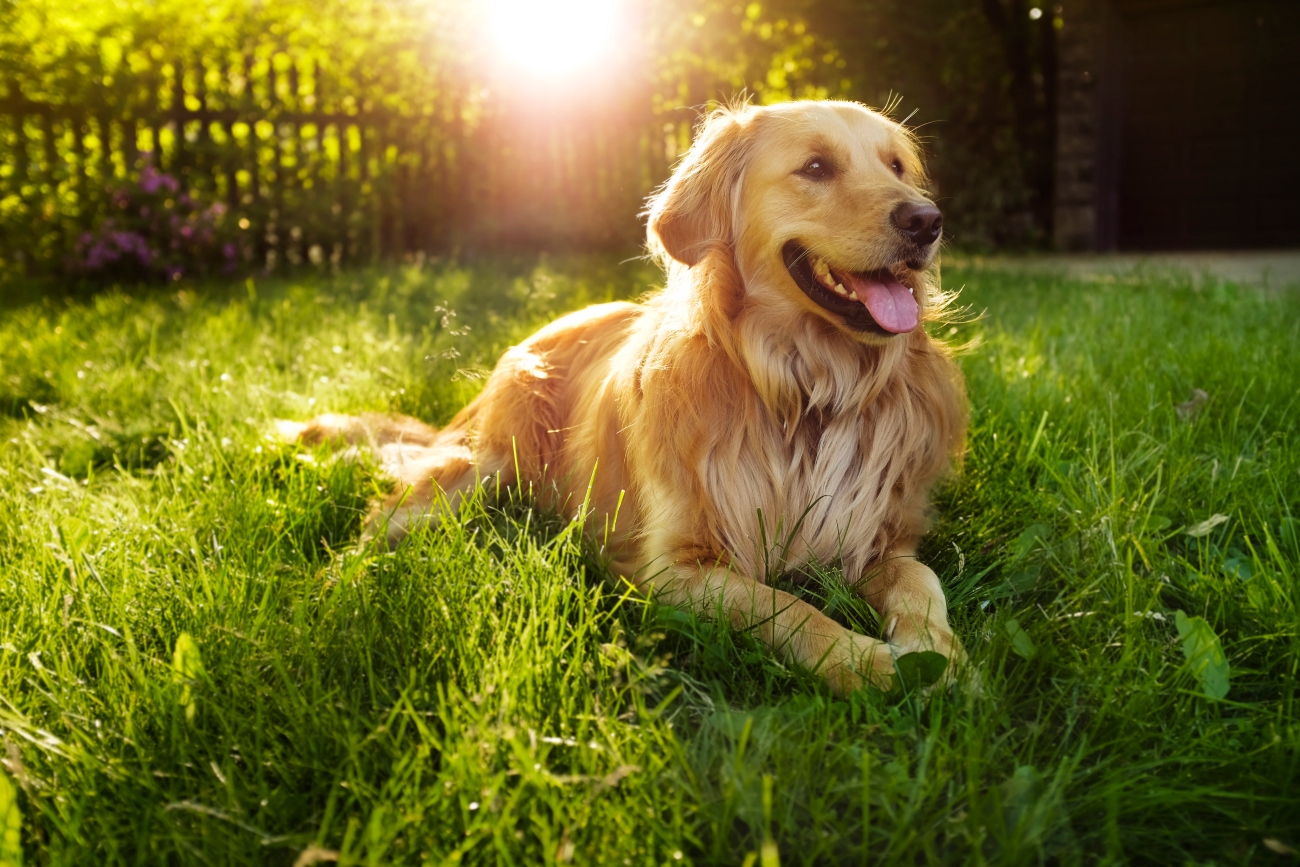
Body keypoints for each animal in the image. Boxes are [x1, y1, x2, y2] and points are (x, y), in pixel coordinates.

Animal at [282, 102, 967, 696]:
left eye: (896, 166)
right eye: (817, 167)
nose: (927, 221)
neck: (805, 390)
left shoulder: (878, 536)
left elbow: (921, 579)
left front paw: (940, 654)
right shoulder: (675, 567)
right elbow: (786, 606)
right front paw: (868, 663)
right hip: (482, 468)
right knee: (376, 526)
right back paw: (331, 594)